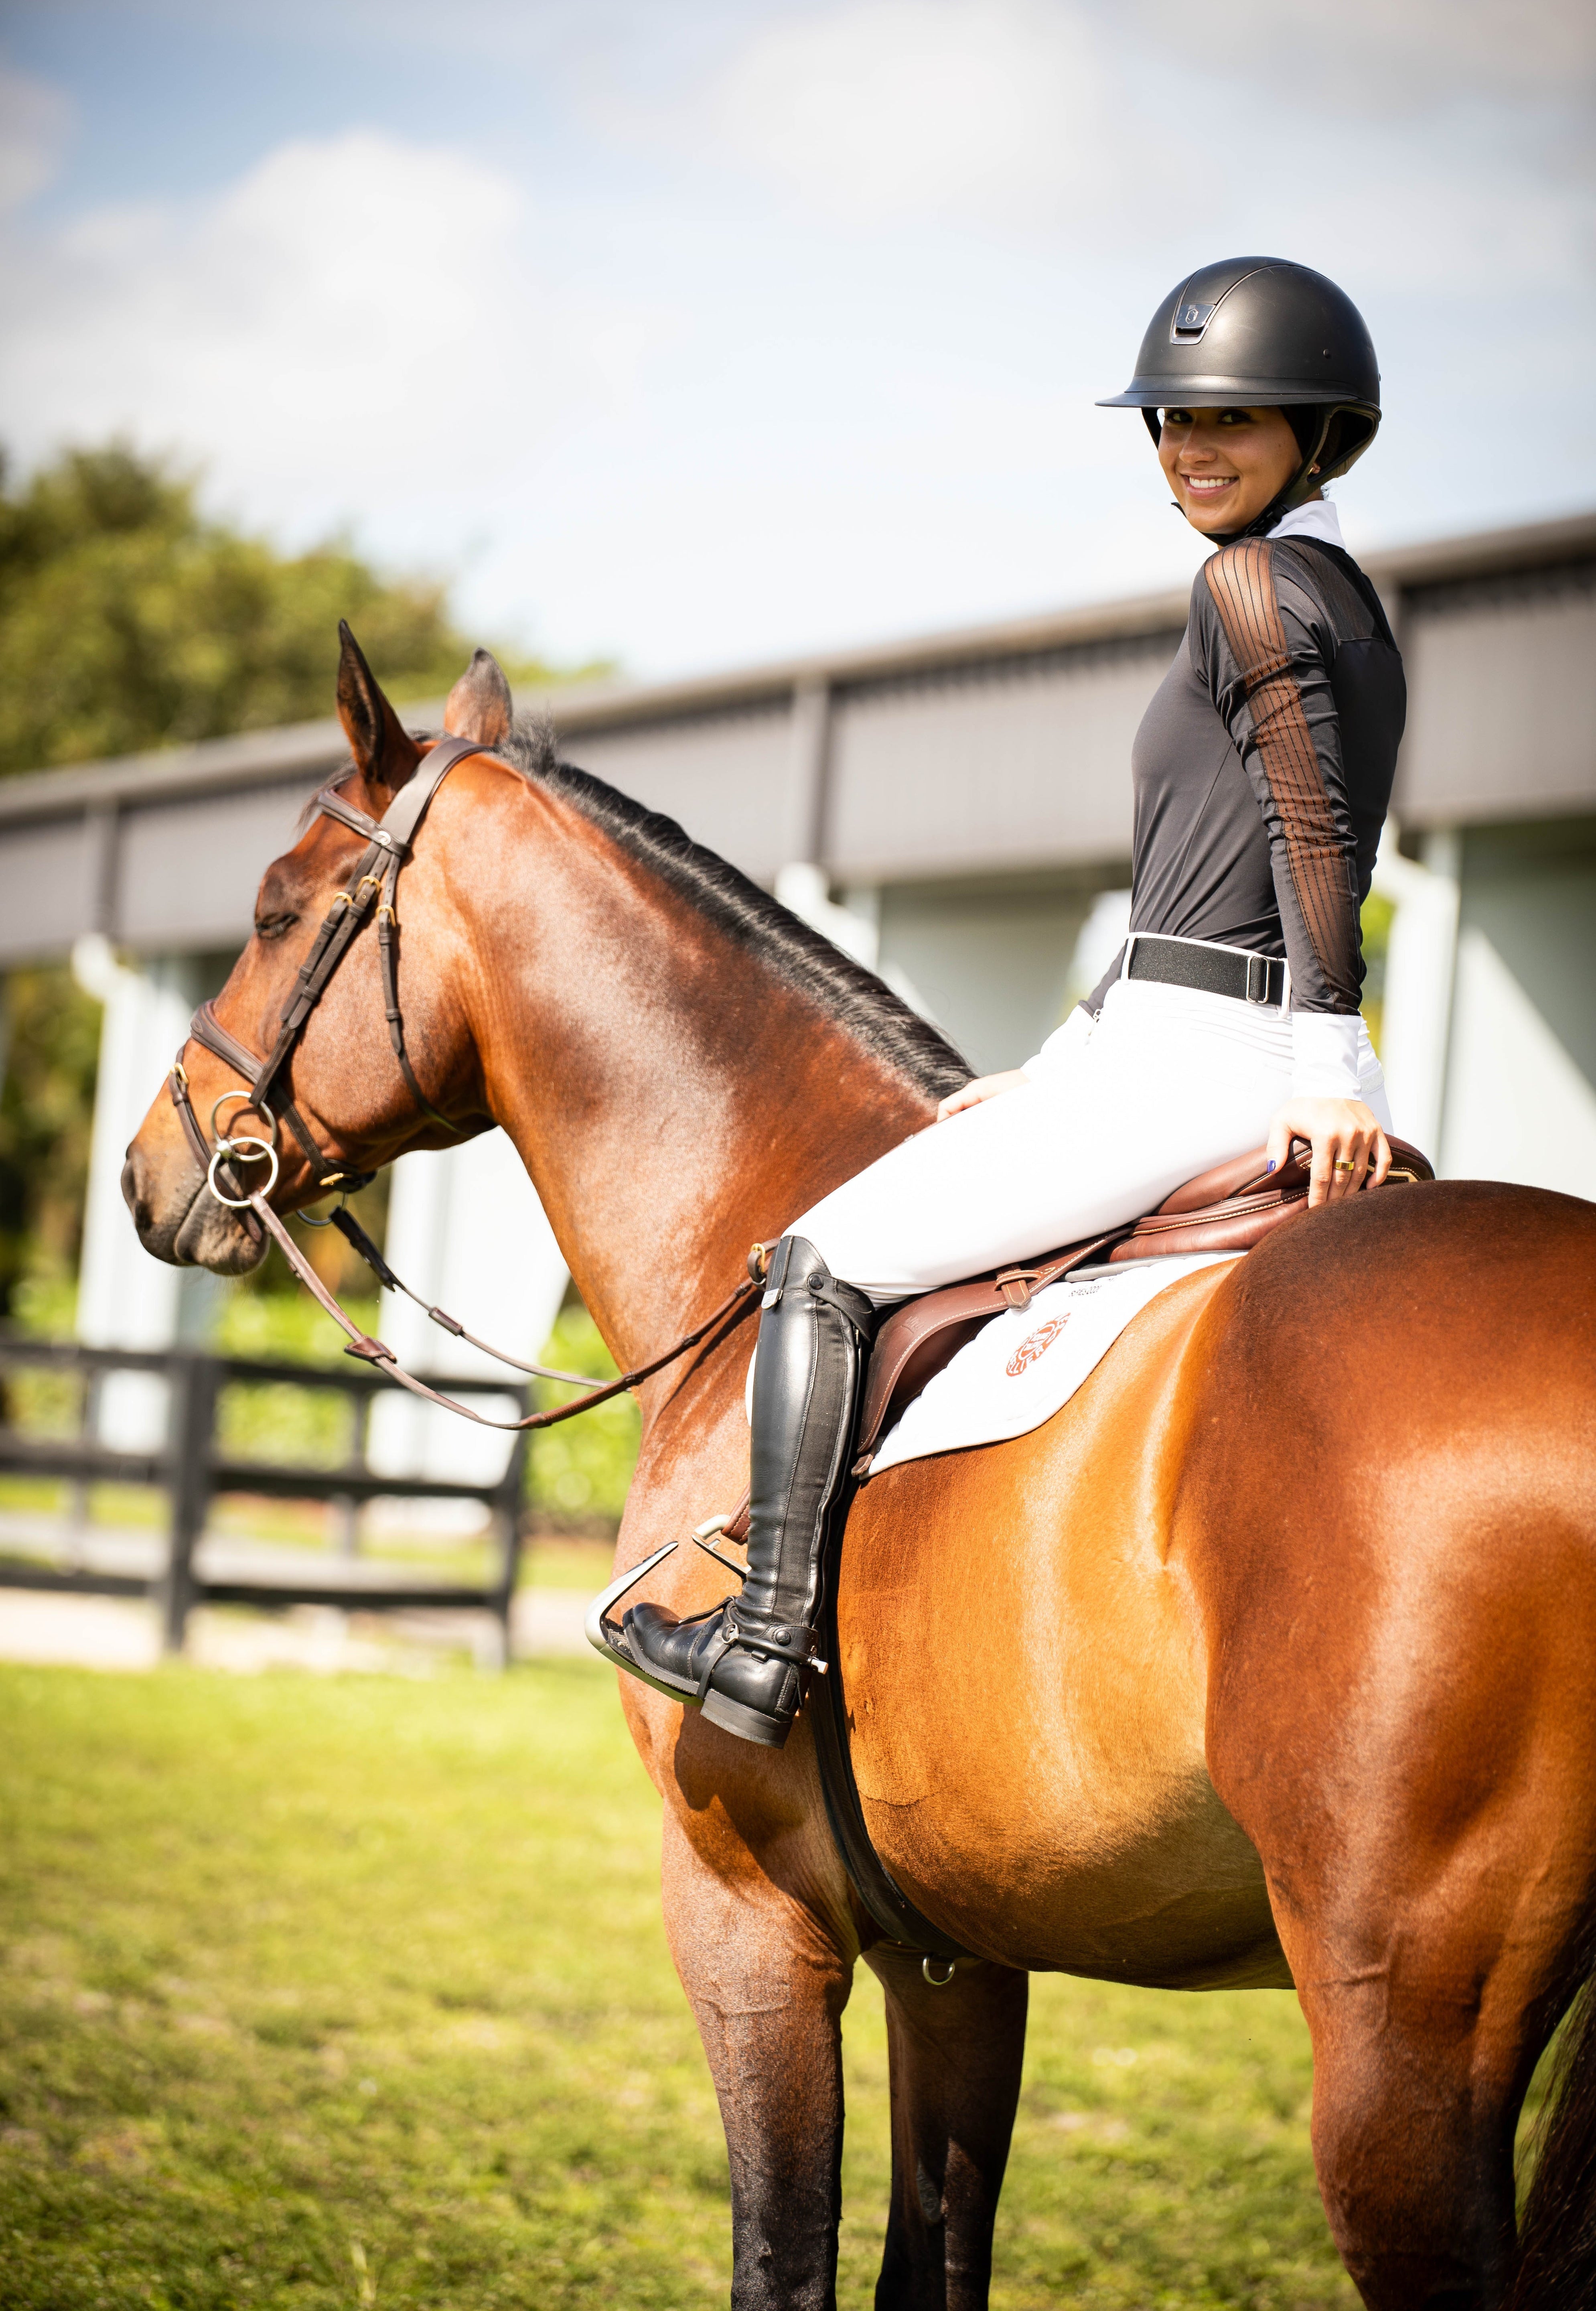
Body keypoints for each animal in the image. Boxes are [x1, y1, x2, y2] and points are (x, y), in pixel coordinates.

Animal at [124, 638, 1596, 2311]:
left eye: (271, 912)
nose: (152, 1171)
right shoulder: (955, 1952)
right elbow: (926, 2261)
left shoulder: (745, 1918)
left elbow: (785, 2258)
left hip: (1400, 2053)